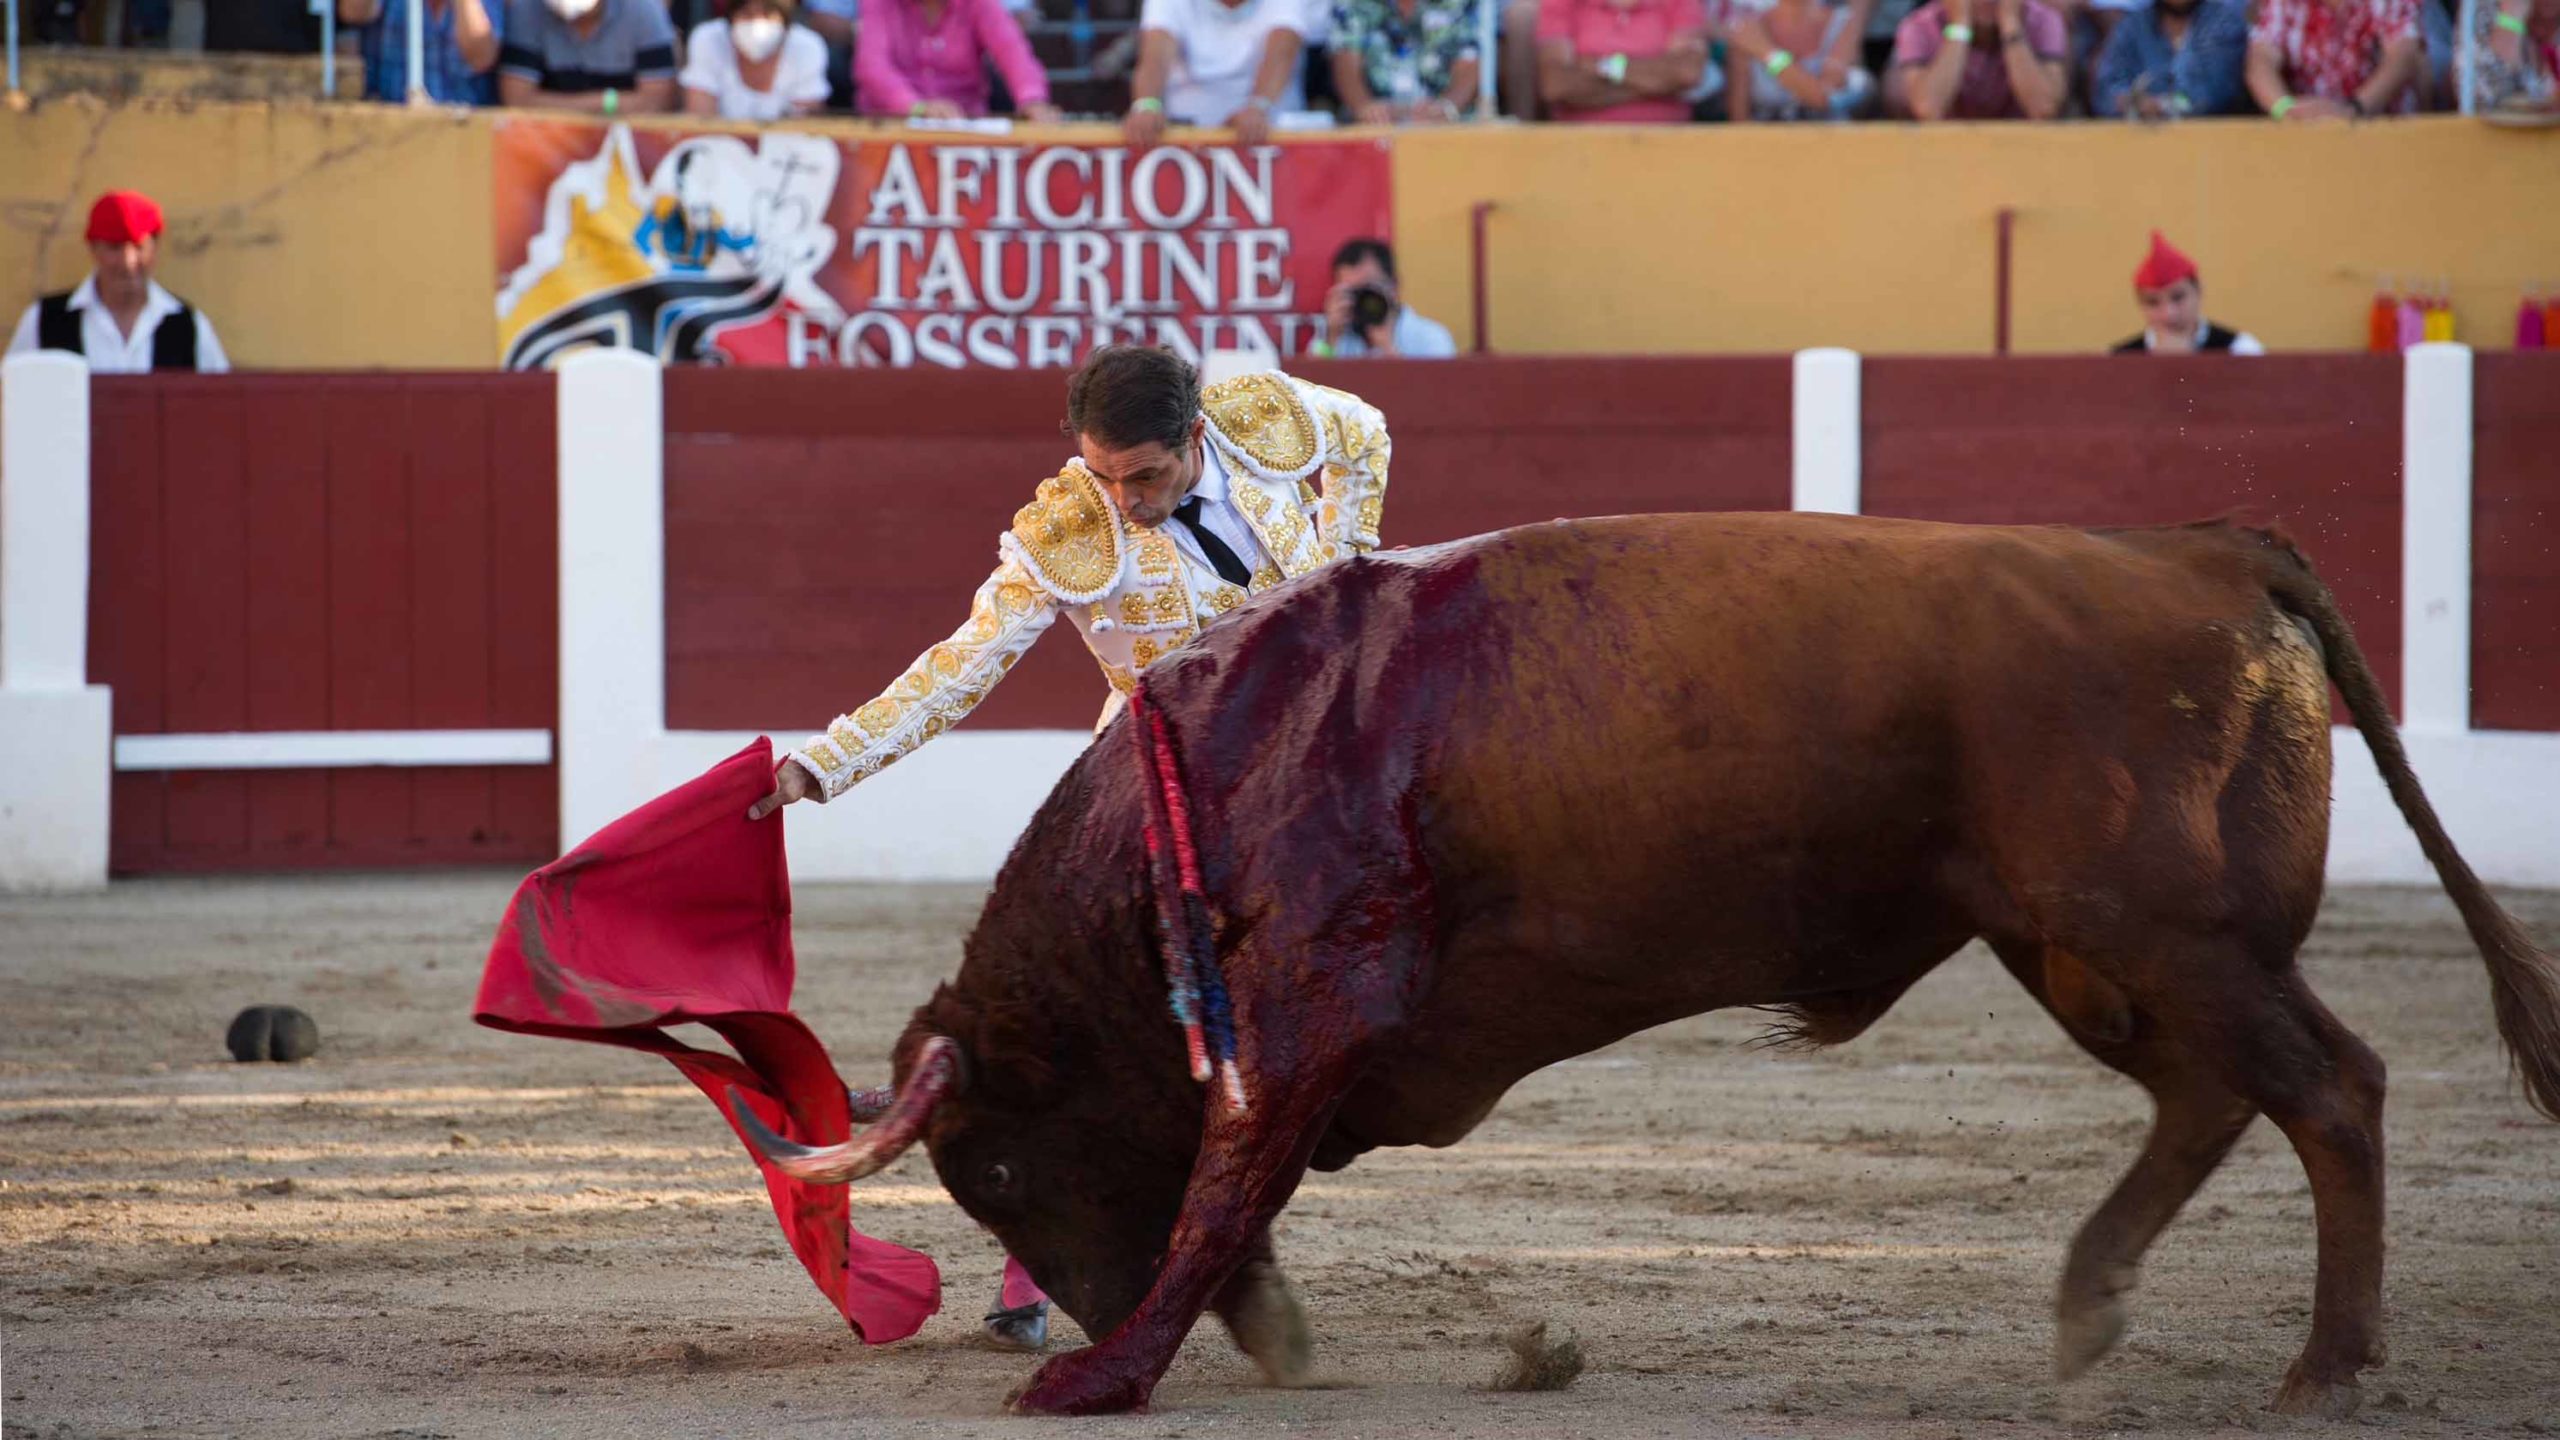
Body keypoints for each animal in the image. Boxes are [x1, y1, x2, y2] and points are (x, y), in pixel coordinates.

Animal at [727, 512, 2560, 1414]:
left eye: (1000, 1166)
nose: (1073, 1317)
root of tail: (2201, 556)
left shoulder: (1315, 1002)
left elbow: (1221, 1190)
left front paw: (1109, 1373)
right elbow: (1234, 1192)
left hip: (2156, 929)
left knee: (2330, 1088)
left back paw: (2323, 1370)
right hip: (2085, 947)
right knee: (2214, 1094)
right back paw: (2094, 1305)